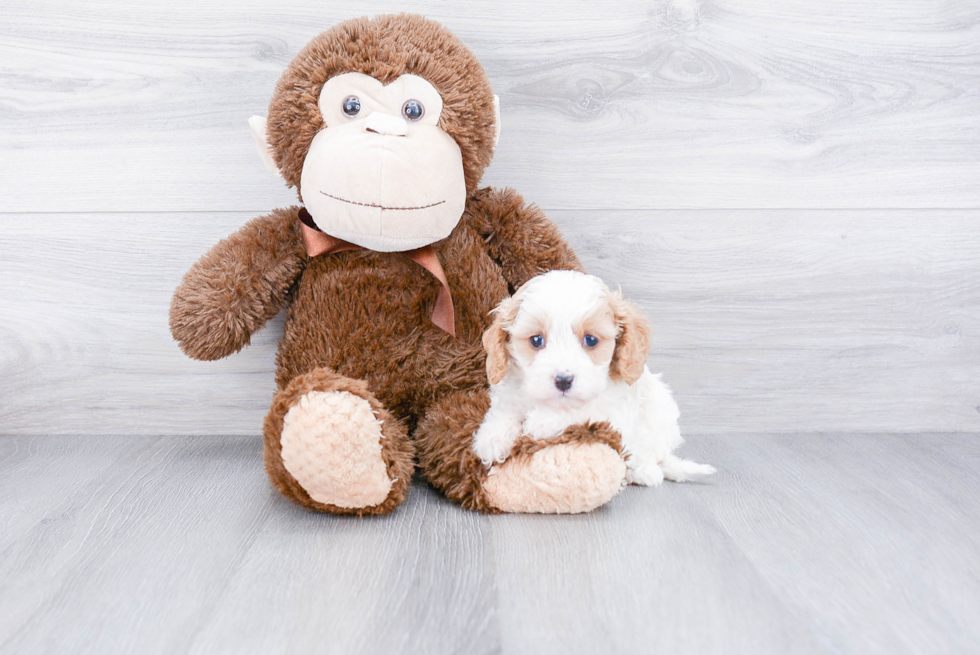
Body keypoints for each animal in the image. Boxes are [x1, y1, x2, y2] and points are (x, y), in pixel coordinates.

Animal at [470, 270, 716, 486]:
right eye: (536, 340)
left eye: (591, 340)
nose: (563, 380)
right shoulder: (512, 390)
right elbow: (504, 410)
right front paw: (491, 438)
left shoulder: (614, 410)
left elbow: (585, 409)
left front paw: (543, 421)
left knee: (650, 456)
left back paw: (643, 471)